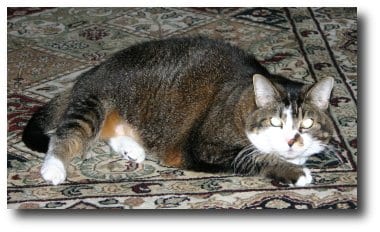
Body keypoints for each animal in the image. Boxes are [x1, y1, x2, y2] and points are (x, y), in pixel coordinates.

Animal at [22, 37, 334, 187]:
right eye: (275, 122)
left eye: (307, 123)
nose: (292, 140)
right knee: (66, 135)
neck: (242, 102)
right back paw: (54, 168)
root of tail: (93, 71)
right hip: (93, 104)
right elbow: (258, 157)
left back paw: (131, 149)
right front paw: (296, 172)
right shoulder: (208, 147)